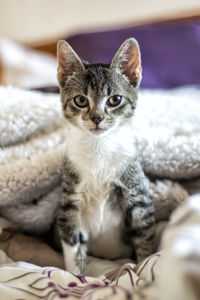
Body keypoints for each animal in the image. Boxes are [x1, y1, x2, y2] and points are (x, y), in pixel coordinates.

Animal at [56, 38, 155, 274]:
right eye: (81, 100)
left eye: (115, 99)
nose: (97, 118)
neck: (99, 147)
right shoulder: (70, 202)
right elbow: (73, 246)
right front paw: (76, 277)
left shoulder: (138, 196)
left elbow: (144, 237)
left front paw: (142, 268)